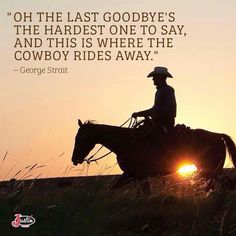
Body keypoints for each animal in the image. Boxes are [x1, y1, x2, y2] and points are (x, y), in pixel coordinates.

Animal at [71, 120, 236, 192]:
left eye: (81, 138)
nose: (74, 159)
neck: (126, 142)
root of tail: (218, 136)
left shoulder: (140, 175)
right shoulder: (130, 174)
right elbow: (115, 188)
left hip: (210, 171)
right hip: (209, 172)